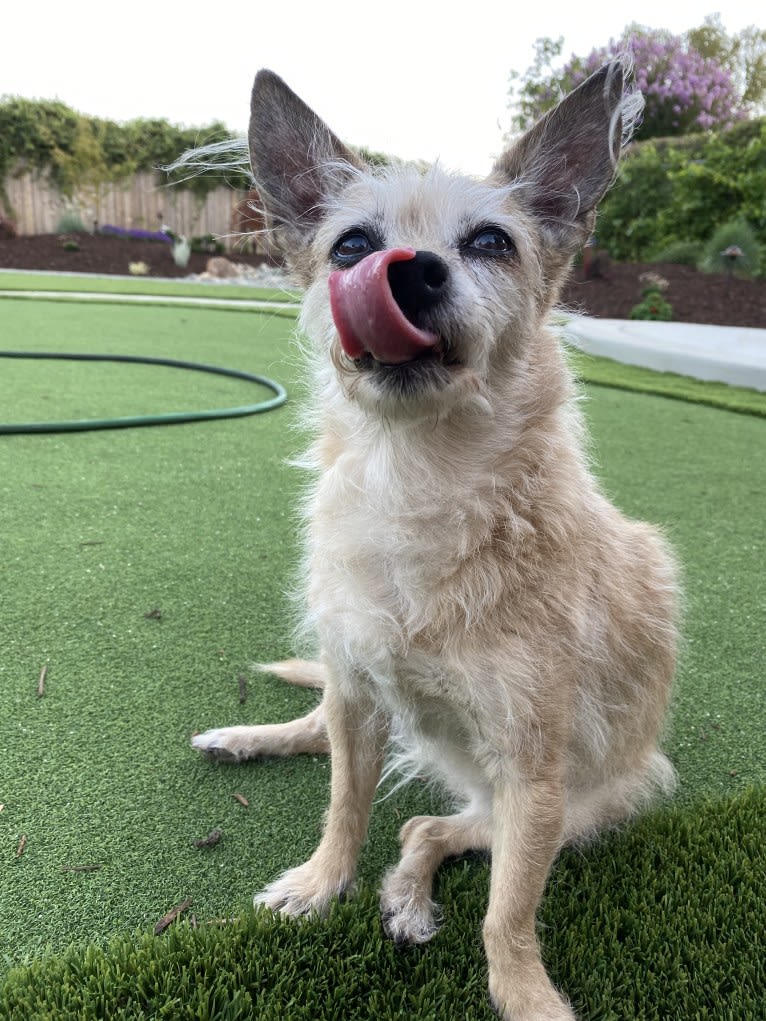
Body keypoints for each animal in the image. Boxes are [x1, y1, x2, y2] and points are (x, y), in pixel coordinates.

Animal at [195, 63, 682, 1021]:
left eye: (492, 241)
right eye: (350, 246)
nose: (407, 270)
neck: (419, 475)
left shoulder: (533, 777)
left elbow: (508, 910)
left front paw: (525, 993)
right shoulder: (356, 688)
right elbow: (343, 804)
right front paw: (322, 881)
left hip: (579, 802)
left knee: (428, 825)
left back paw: (409, 897)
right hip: (370, 706)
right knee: (319, 734)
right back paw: (246, 738)